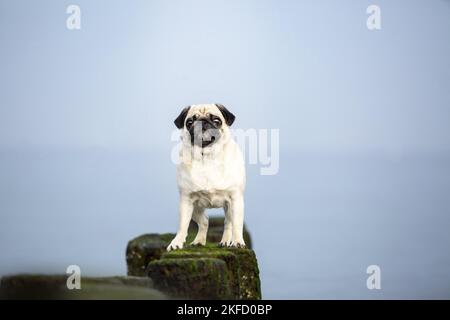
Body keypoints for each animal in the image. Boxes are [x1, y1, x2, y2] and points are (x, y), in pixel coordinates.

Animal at [167, 104, 246, 251]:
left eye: (216, 120)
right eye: (189, 122)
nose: (202, 122)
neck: (207, 157)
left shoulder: (235, 198)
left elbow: (237, 225)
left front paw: (238, 241)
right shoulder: (186, 200)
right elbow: (182, 225)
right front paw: (176, 242)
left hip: (229, 207)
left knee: (228, 223)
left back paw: (226, 240)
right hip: (195, 208)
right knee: (204, 221)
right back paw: (199, 241)